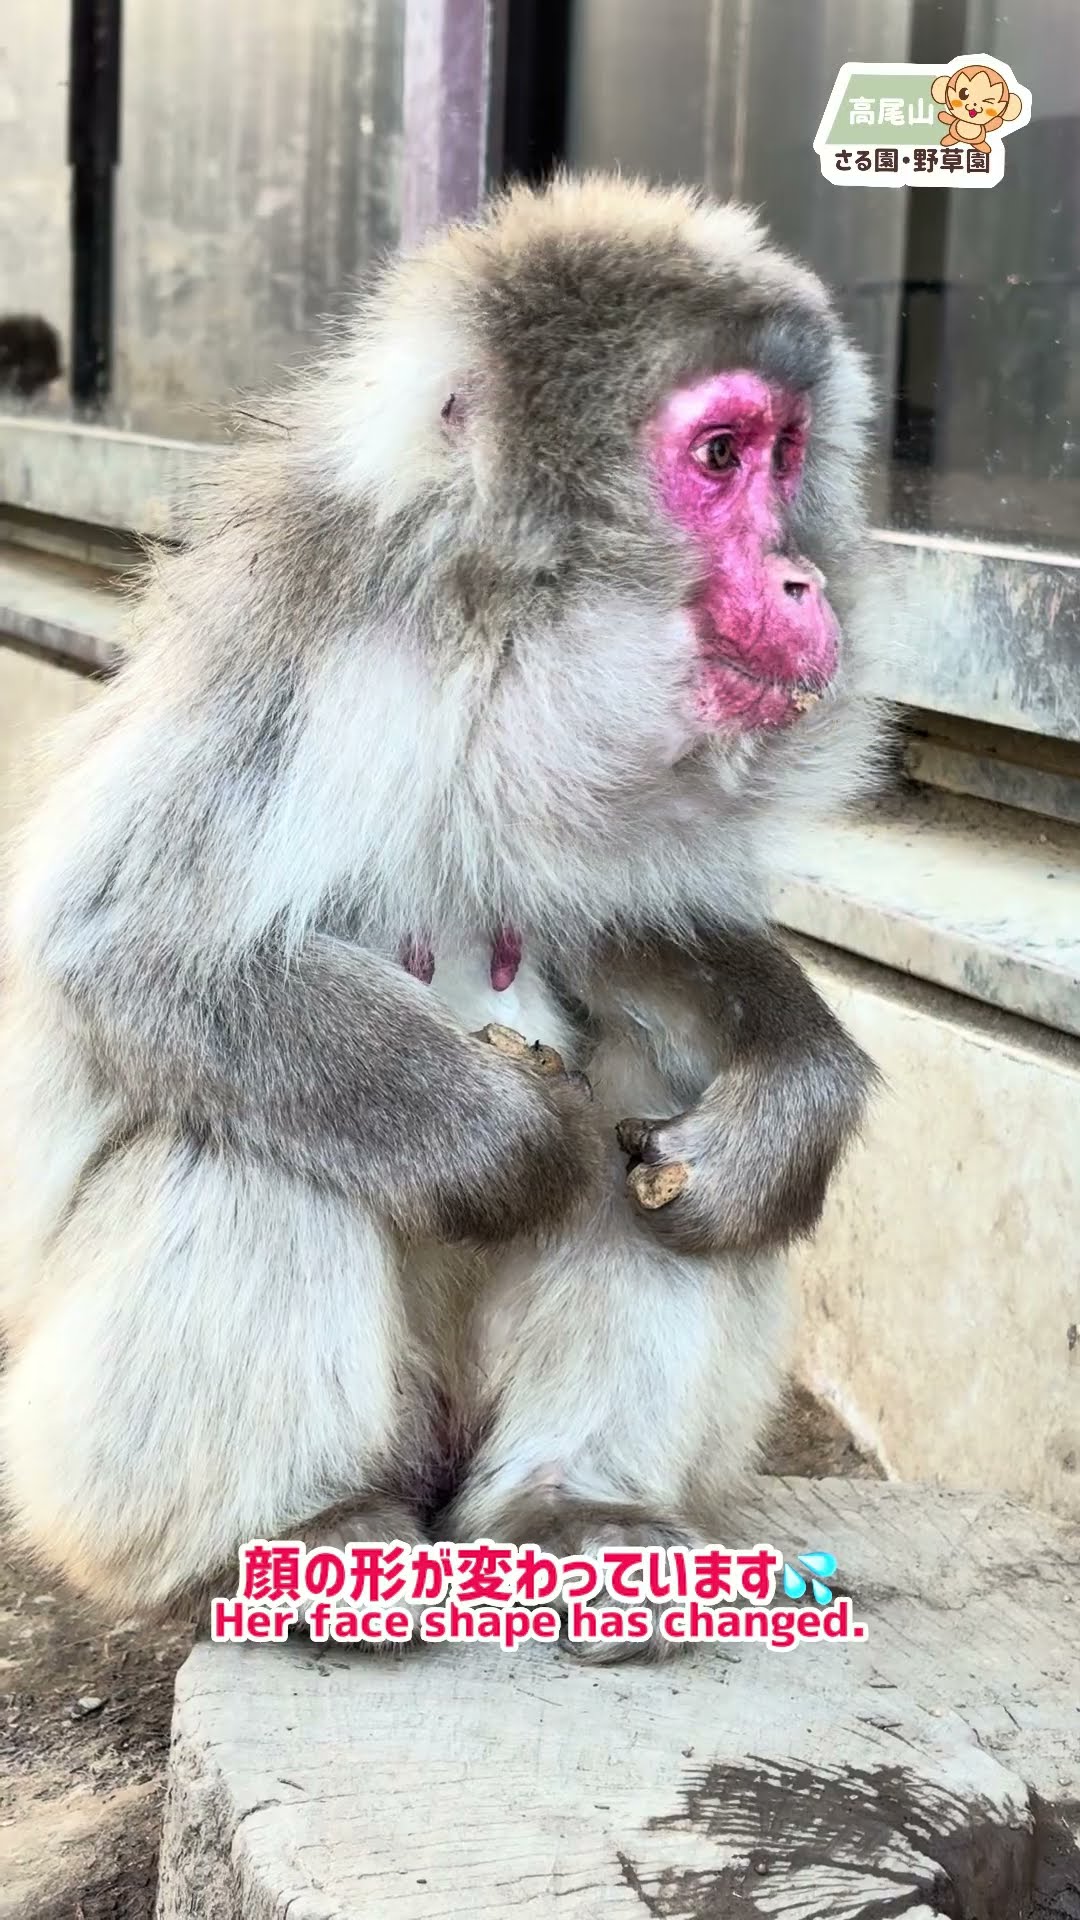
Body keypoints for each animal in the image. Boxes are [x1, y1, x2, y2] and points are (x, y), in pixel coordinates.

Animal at [0, 174, 884, 1647]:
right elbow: (123, 949)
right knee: (248, 1134)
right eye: (717, 455)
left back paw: (574, 1506)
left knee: (653, 1107)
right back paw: (309, 1530)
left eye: (787, 452)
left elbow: (641, 934)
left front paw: (792, 1103)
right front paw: (500, 1145)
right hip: (75, 1462)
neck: (500, 640)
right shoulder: (301, 635)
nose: (800, 579)